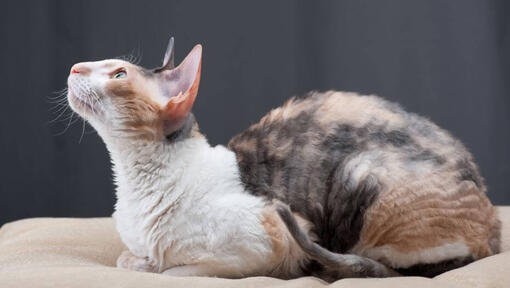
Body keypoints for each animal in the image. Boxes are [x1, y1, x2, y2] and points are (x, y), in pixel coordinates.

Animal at [65, 36, 500, 282]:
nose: (74, 67)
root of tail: (493, 231)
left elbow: (176, 271)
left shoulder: (269, 240)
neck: (136, 184)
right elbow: (126, 258)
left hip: (364, 176)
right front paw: (142, 260)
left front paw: (155, 265)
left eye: (119, 74)